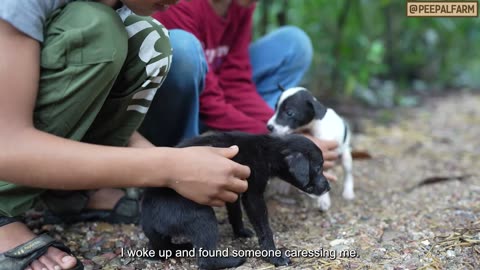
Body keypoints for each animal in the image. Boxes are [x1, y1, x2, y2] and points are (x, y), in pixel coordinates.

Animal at [141, 132, 330, 268]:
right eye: (318, 168)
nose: (328, 187)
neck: (268, 150)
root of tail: (147, 217)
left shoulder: (232, 189)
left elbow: (235, 213)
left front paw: (240, 232)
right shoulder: (253, 196)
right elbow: (265, 229)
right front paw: (273, 256)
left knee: (164, 247)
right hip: (201, 217)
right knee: (204, 260)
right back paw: (234, 261)